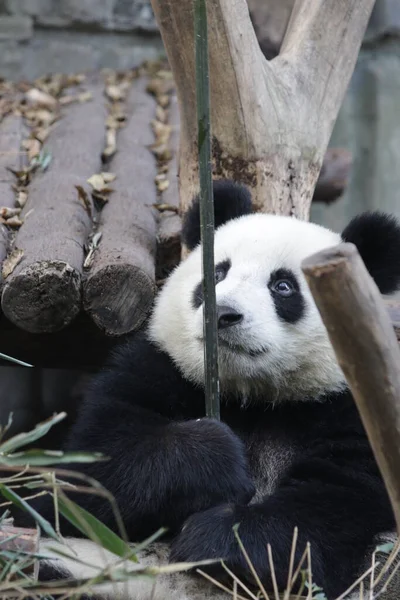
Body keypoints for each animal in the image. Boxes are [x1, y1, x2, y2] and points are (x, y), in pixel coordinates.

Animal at [20, 180, 400, 596]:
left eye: (283, 286)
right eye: (217, 274)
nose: (223, 313)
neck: (251, 395)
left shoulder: (351, 409)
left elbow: (331, 502)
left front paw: (218, 540)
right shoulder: (156, 369)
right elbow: (91, 472)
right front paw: (216, 456)